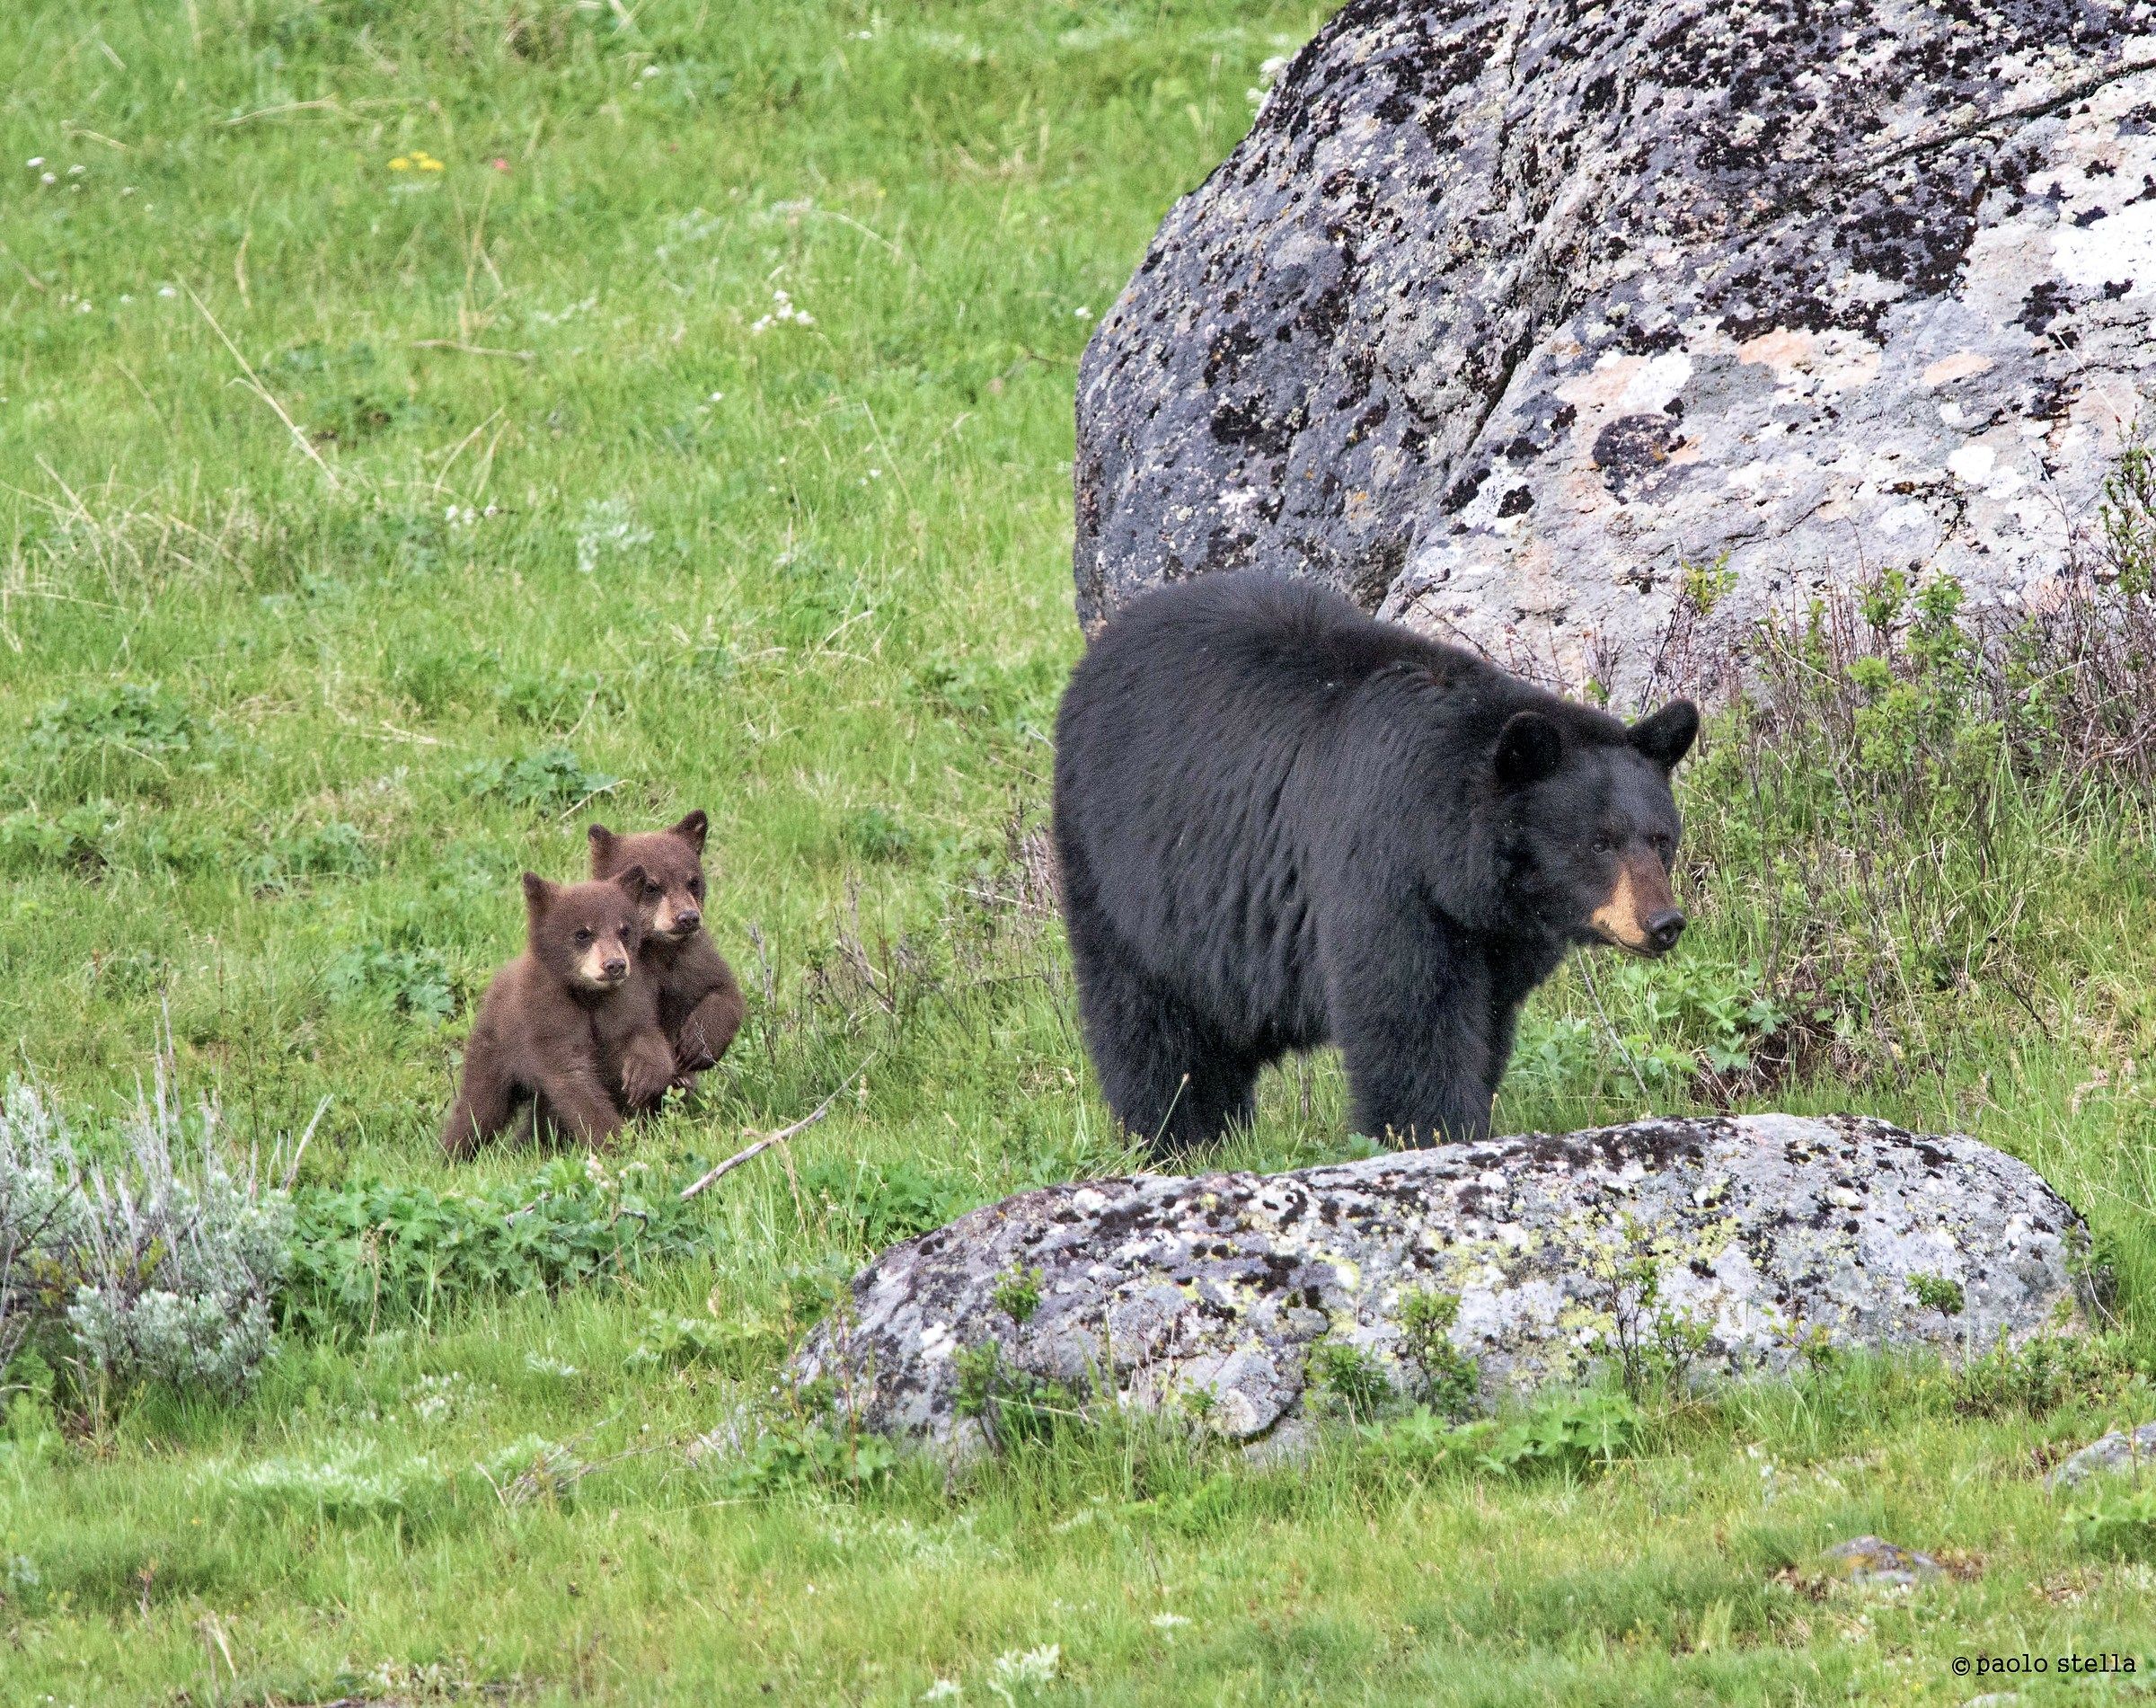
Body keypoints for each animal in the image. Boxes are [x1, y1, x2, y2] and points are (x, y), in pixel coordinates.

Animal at [438, 866, 678, 1159]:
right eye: (583, 933)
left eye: (624, 930)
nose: (615, 965)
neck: (587, 996)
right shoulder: (547, 1017)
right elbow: (572, 1079)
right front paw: (616, 1142)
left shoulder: (623, 1000)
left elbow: (641, 1031)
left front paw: (644, 1074)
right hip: (493, 1052)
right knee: (480, 1107)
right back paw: (452, 1155)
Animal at [587, 810, 745, 1089]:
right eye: (651, 886)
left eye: (693, 881)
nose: (688, 917)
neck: (657, 950)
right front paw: (644, 1074)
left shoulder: (692, 959)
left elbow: (724, 990)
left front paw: (697, 1045)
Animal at [1051, 571, 1699, 1156]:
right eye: (1600, 843)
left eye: (1661, 838)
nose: (1663, 922)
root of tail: (1101, 647)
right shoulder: (1381, 865)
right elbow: (1409, 1017)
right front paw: (1431, 1132)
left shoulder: (1495, 934)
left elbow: (1487, 1022)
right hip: (1121, 868)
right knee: (1152, 1023)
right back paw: (1181, 1136)